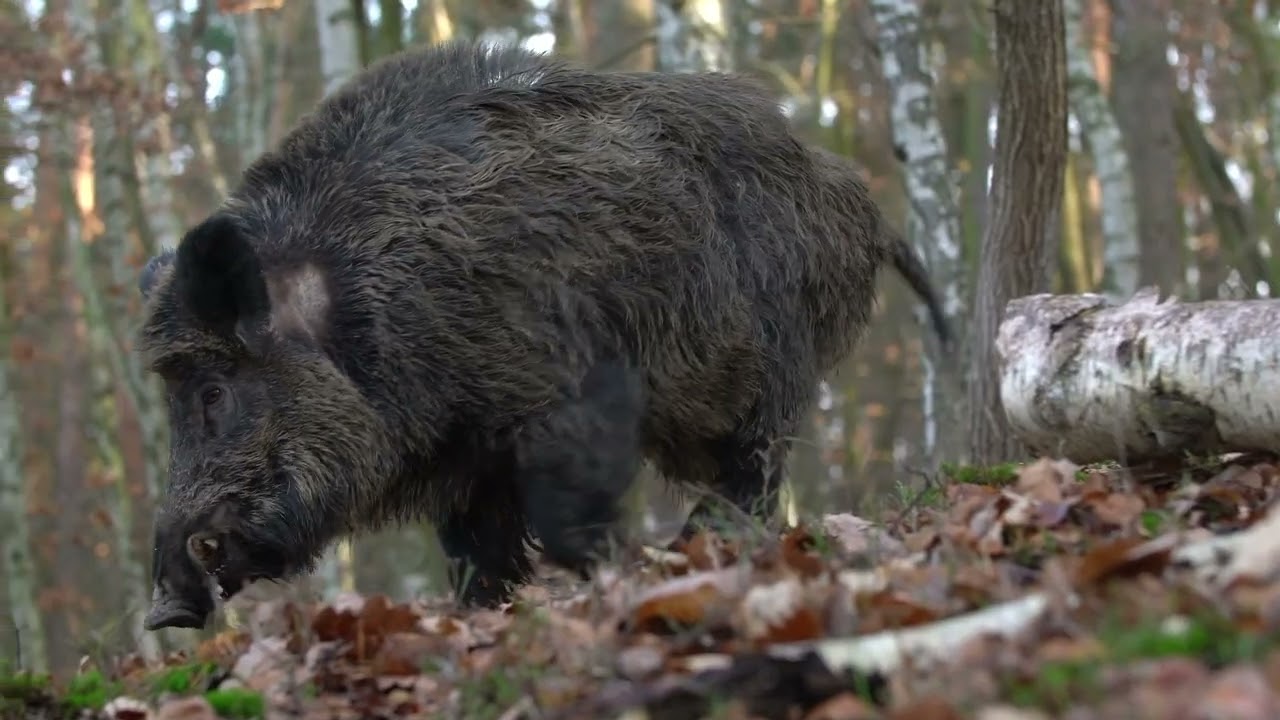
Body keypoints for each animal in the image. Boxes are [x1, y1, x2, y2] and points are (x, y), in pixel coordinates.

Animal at [137, 40, 951, 631]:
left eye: (214, 390)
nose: (164, 610)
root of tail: (856, 201)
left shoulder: (572, 394)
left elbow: (563, 518)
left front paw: (615, 575)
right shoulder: (466, 456)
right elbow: (476, 556)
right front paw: (484, 617)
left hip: (773, 363)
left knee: (755, 468)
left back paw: (696, 544)